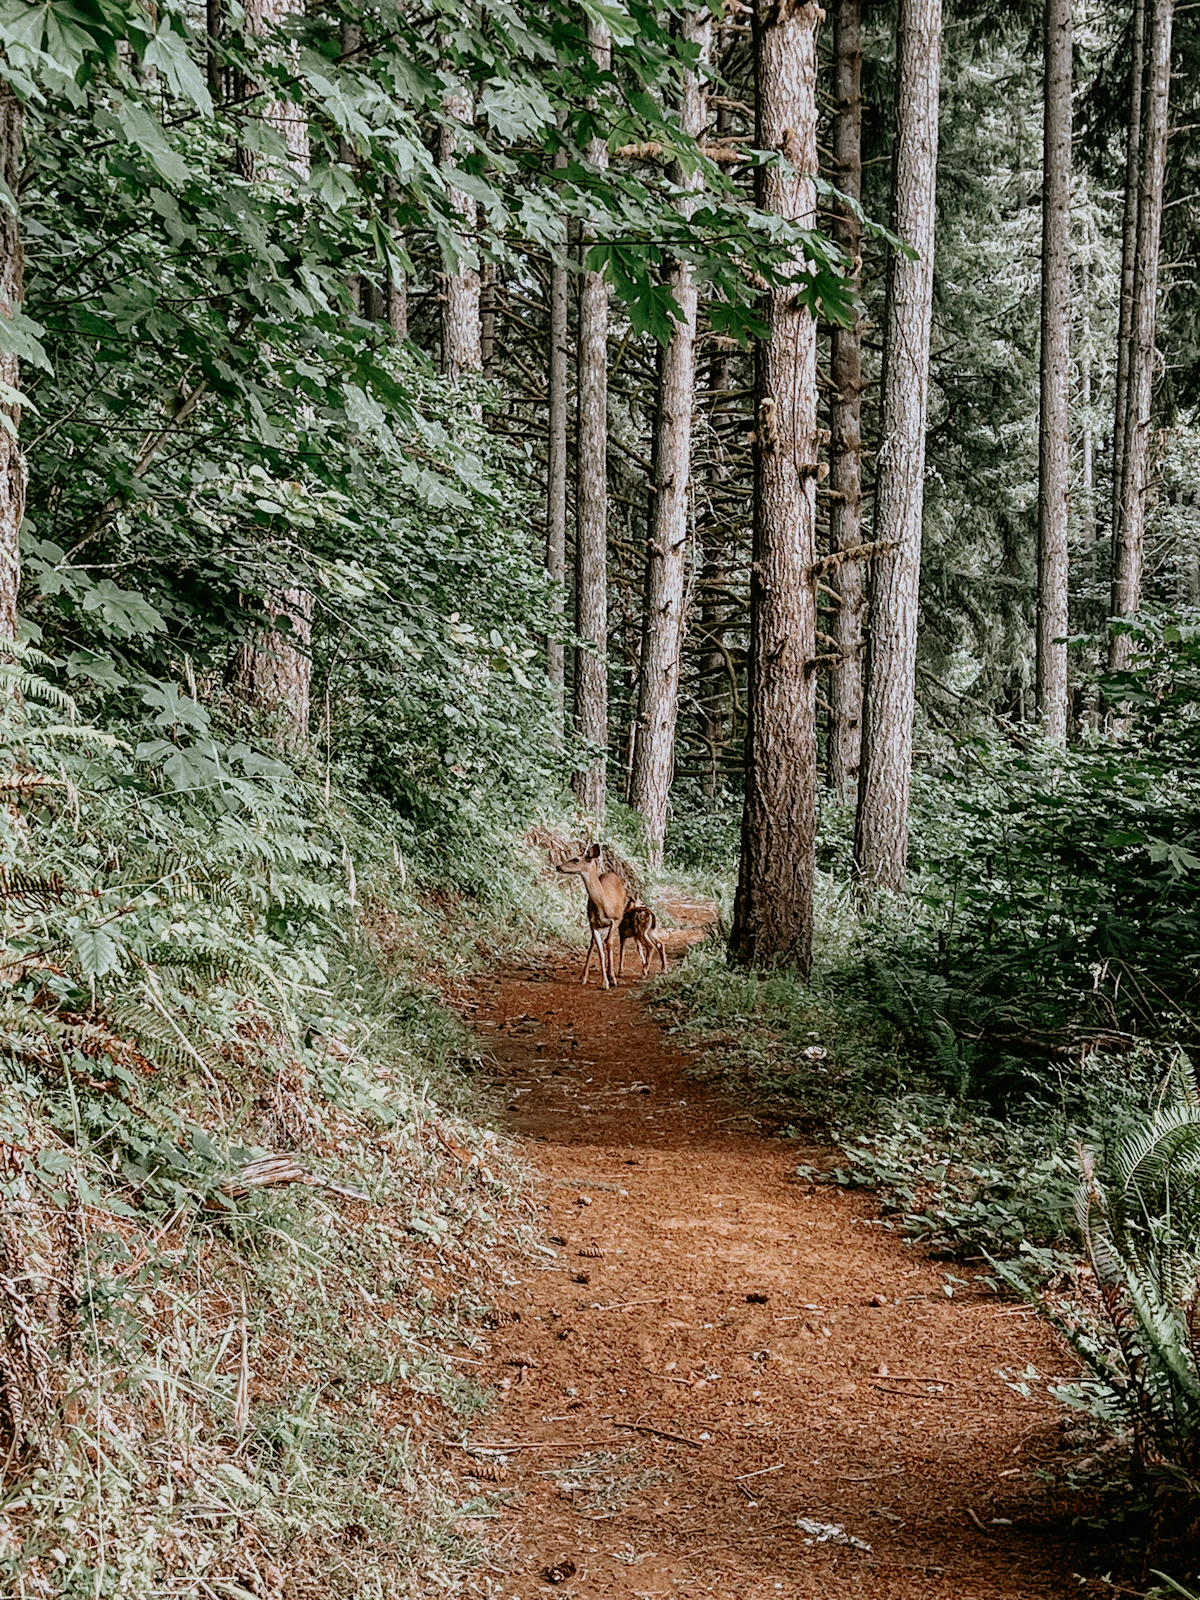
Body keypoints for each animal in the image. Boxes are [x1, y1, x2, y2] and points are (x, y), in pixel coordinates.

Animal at [555, 843, 629, 989]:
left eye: (576, 859)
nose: (558, 866)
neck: (603, 903)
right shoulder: (593, 923)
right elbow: (600, 950)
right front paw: (605, 982)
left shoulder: (616, 919)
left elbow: (609, 943)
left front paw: (612, 978)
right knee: (592, 943)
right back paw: (584, 977)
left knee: (614, 942)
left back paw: (615, 973)